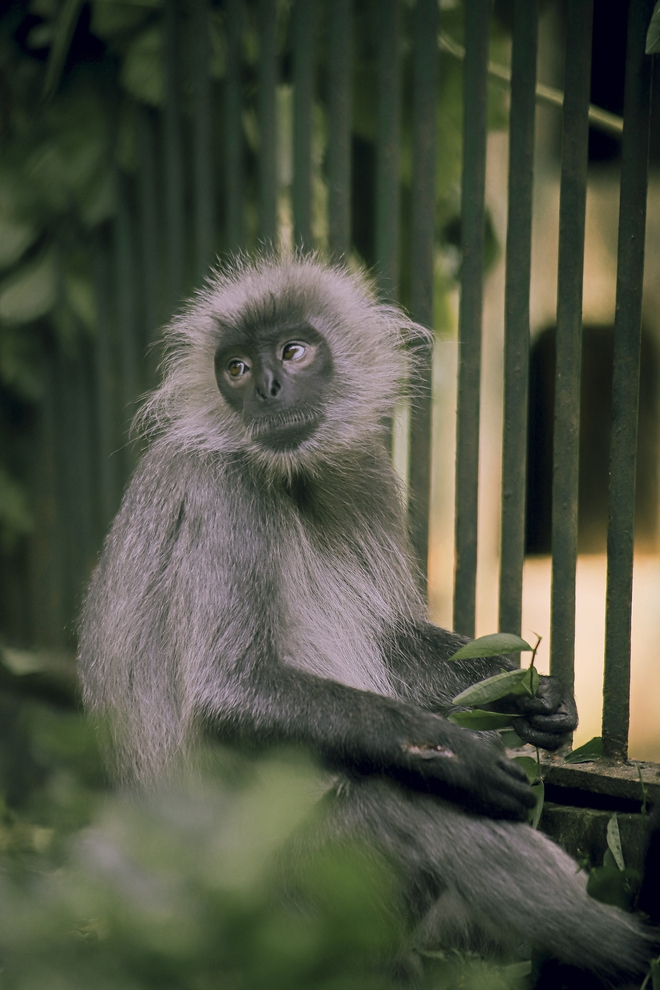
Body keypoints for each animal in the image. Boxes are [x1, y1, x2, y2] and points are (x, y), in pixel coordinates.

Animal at [78, 256, 660, 984]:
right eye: (235, 367)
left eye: (292, 353)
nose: (266, 388)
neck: (290, 475)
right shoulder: (226, 483)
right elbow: (230, 694)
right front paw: (463, 756)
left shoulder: (365, 471)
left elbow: (393, 640)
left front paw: (541, 699)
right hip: (288, 912)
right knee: (407, 805)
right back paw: (627, 949)